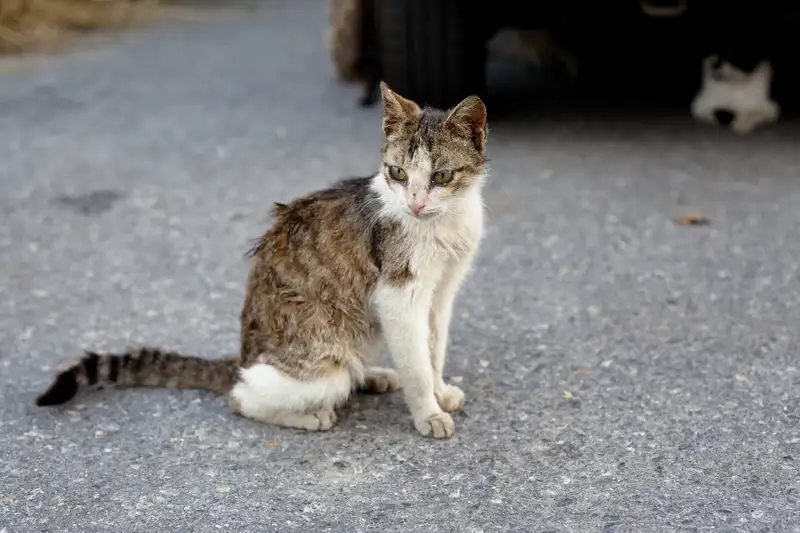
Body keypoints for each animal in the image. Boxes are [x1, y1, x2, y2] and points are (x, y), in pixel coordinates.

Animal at [36, 83, 488, 438]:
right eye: (397, 173)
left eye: (441, 177)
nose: (414, 204)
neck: (444, 223)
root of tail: (242, 355)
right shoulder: (399, 296)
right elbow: (416, 363)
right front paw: (427, 411)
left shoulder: (442, 292)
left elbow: (432, 348)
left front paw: (439, 392)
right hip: (322, 362)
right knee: (244, 396)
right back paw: (312, 414)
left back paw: (372, 375)